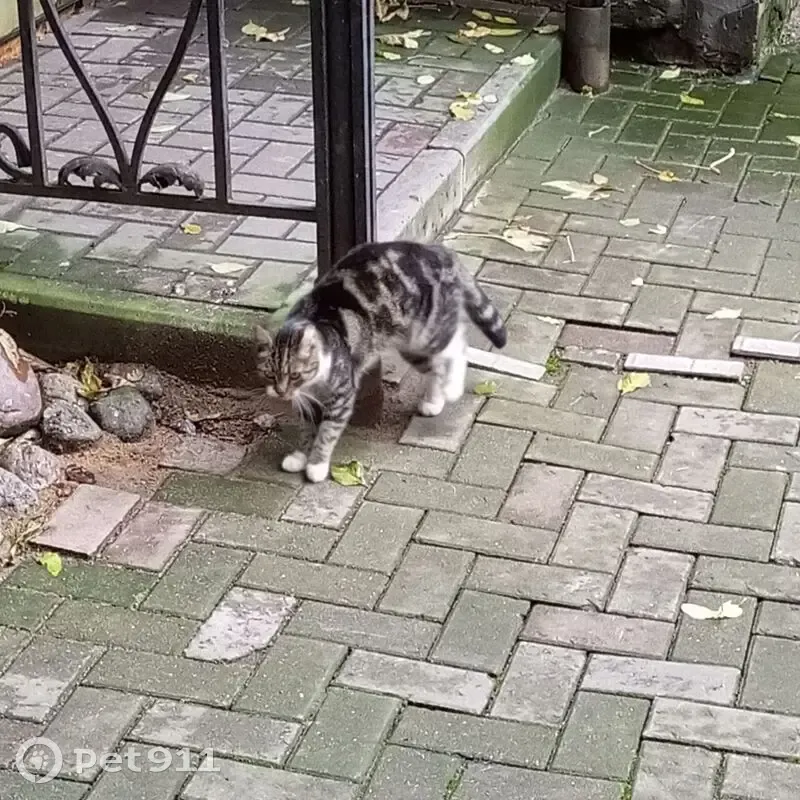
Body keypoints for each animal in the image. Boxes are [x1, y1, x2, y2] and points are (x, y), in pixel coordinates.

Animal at [254, 240, 507, 483]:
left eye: (294, 374)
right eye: (270, 374)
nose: (281, 392)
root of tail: (435, 250)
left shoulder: (341, 397)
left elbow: (326, 433)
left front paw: (316, 465)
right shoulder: (307, 401)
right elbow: (307, 429)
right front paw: (300, 456)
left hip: (428, 334)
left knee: (457, 344)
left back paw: (453, 387)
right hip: (412, 347)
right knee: (436, 366)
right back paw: (433, 402)